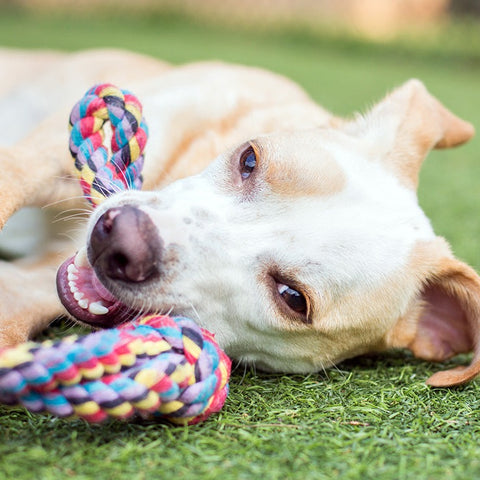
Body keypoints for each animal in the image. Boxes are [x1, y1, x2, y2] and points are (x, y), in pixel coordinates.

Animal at [0, 48, 480, 388]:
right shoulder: (48, 151)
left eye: (292, 298)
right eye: (249, 159)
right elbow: (11, 178)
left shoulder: (31, 287)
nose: (119, 240)